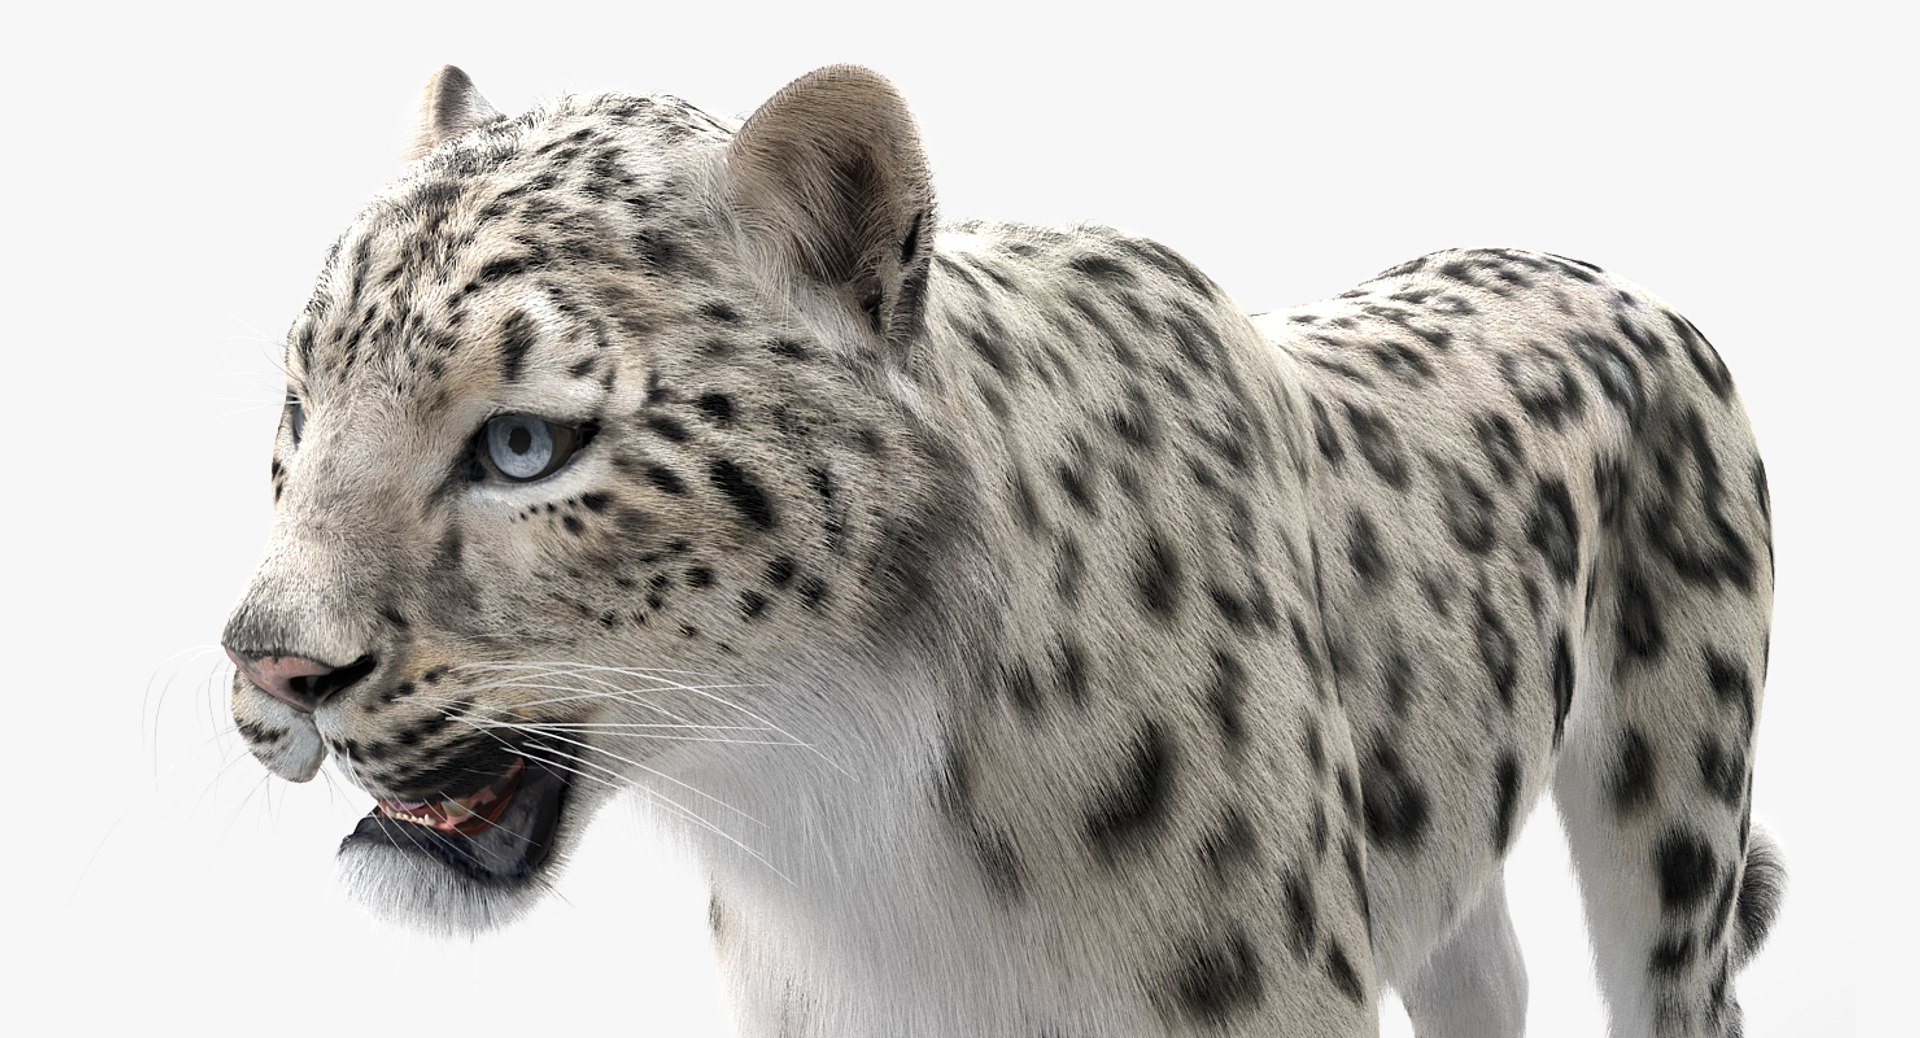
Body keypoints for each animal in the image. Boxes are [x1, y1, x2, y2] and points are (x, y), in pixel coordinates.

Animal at [221, 64, 1785, 1037]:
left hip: (1680, 808)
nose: (270, 666)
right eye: (301, 403)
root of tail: (1610, 273)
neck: (842, 833)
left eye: (523, 445)